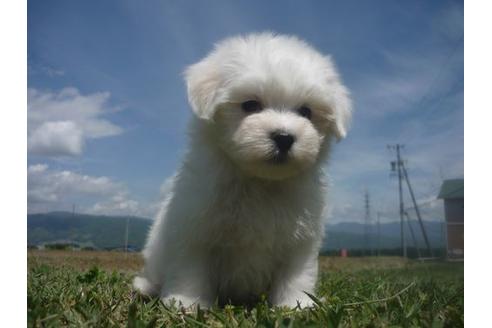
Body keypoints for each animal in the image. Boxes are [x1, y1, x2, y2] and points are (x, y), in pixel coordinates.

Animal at [133, 33, 352, 308]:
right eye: (250, 105)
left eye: (306, 111)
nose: (284, 138)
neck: (261, 181)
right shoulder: (195, 228)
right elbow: (190, 270)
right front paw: (186, 303)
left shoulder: (300, 239)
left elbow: (295, 274)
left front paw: (296, 304)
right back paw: (144, 286)